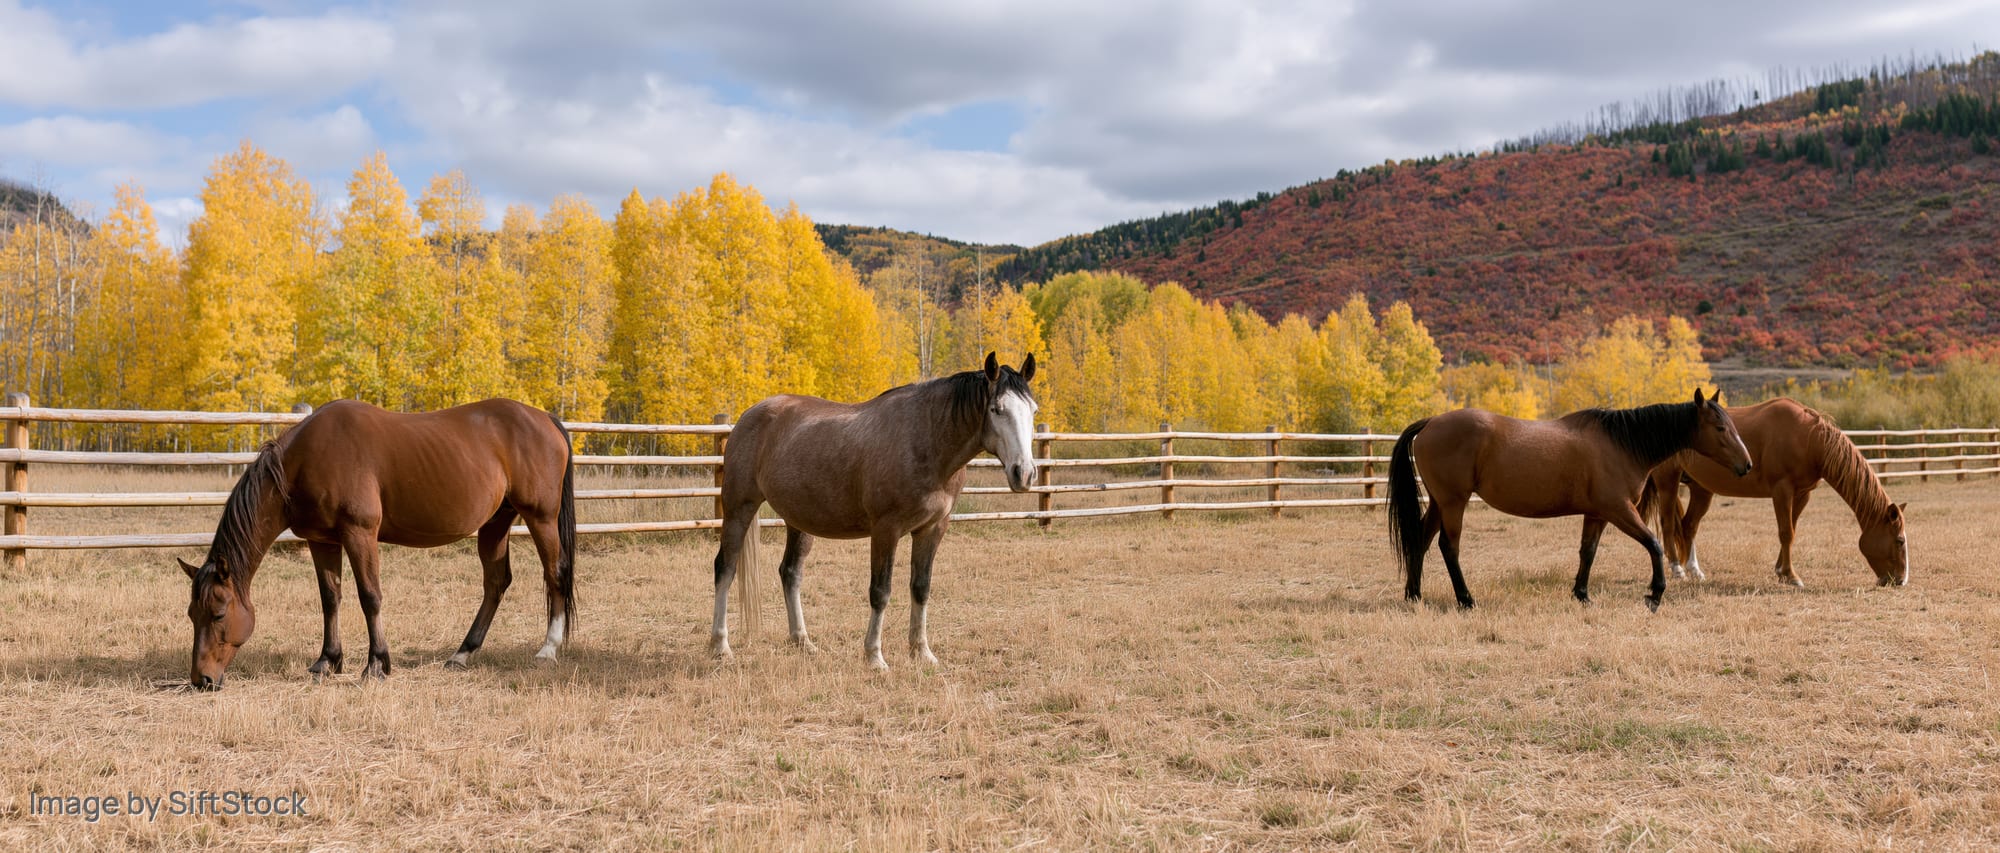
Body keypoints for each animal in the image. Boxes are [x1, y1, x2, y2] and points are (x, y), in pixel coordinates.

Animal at [180, 398, 576, 690]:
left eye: (218, 614)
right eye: (191, 614)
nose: (202, 680)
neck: (304, 461)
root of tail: (544, 418)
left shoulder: (360, 534)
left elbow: (370, 596)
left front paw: (377, 664)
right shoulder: (322, 541)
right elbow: (330, 599)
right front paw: (327, 661)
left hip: (540, 518)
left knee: (555, 574)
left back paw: (548, 650)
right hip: (496, 522)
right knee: (495, 583)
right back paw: (462, 654)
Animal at [709, 352, 1038, 671]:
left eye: (1033, 411)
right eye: (996, 409)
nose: (1024, 474)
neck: (926, 441)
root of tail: (749, 415)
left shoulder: (932, 529)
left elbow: (921, 588)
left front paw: (922, 652)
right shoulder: (885, 531)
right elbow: (880, 592)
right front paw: (874, 657)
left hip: (799, 520)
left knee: (790, 573)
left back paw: (803, 642)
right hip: (739, 508)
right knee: (725, 568)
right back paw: (720, 647)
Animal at [1387, 389, 1752, 612]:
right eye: (1720, 428)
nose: (1746, 465)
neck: (1622, 444)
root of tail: (1430, 423)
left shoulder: (1597, 514)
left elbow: (1587, 552)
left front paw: (1582, 594)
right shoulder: (1619, 510)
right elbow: (1654, 544)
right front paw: (1655, 594)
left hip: (1439, 503)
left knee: (1420, 541)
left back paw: (1414, 595)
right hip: (1453, 503)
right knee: (1449, 547)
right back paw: (1465, 600)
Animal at [1646, 397, 1908, 588]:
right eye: (1900, 540)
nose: (1901, 581)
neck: (1808, 439)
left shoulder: (1802, 494)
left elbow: (1792, 529)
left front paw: (1781, 571)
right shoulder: (1782, 491)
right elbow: (1786, 532)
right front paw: (1792, 576)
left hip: (1701, 489)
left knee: (1689, 526)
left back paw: (1695, 571)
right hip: (1668, 482)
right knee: (1668, 524)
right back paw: (1677, 569)